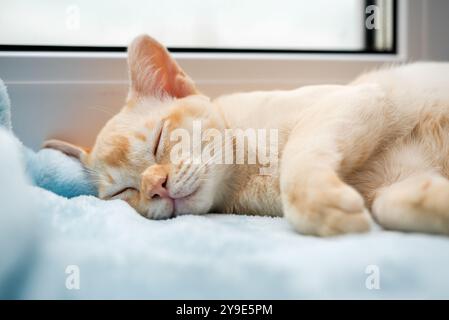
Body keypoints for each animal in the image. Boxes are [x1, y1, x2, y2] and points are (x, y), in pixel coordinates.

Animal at [43, 35, 448, 236]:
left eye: (158, 140)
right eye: (123, 192)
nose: (156, 185)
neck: (248, 178)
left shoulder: (357, 98)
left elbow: (300, 159)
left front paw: (318, 205)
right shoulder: (390, 180)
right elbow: (390, 204)